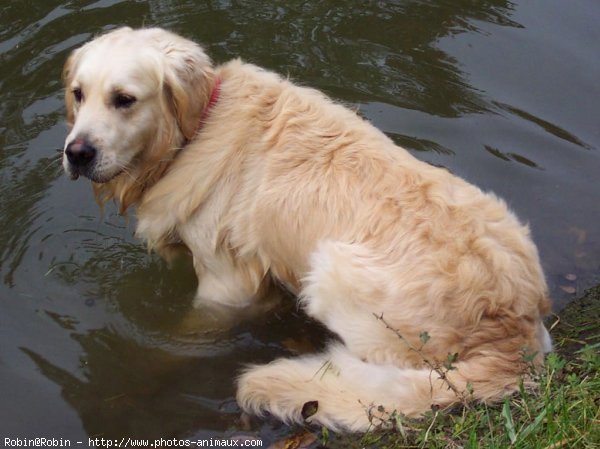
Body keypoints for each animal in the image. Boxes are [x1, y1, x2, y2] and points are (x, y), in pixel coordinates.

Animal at [62, 27, 552, 430]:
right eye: (79, 94)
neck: (193, 131)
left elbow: (179, 341)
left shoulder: (226, 284)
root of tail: (516, 334)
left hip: (333, 270)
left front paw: (143, 369)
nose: (76, 153)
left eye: (124, 99)